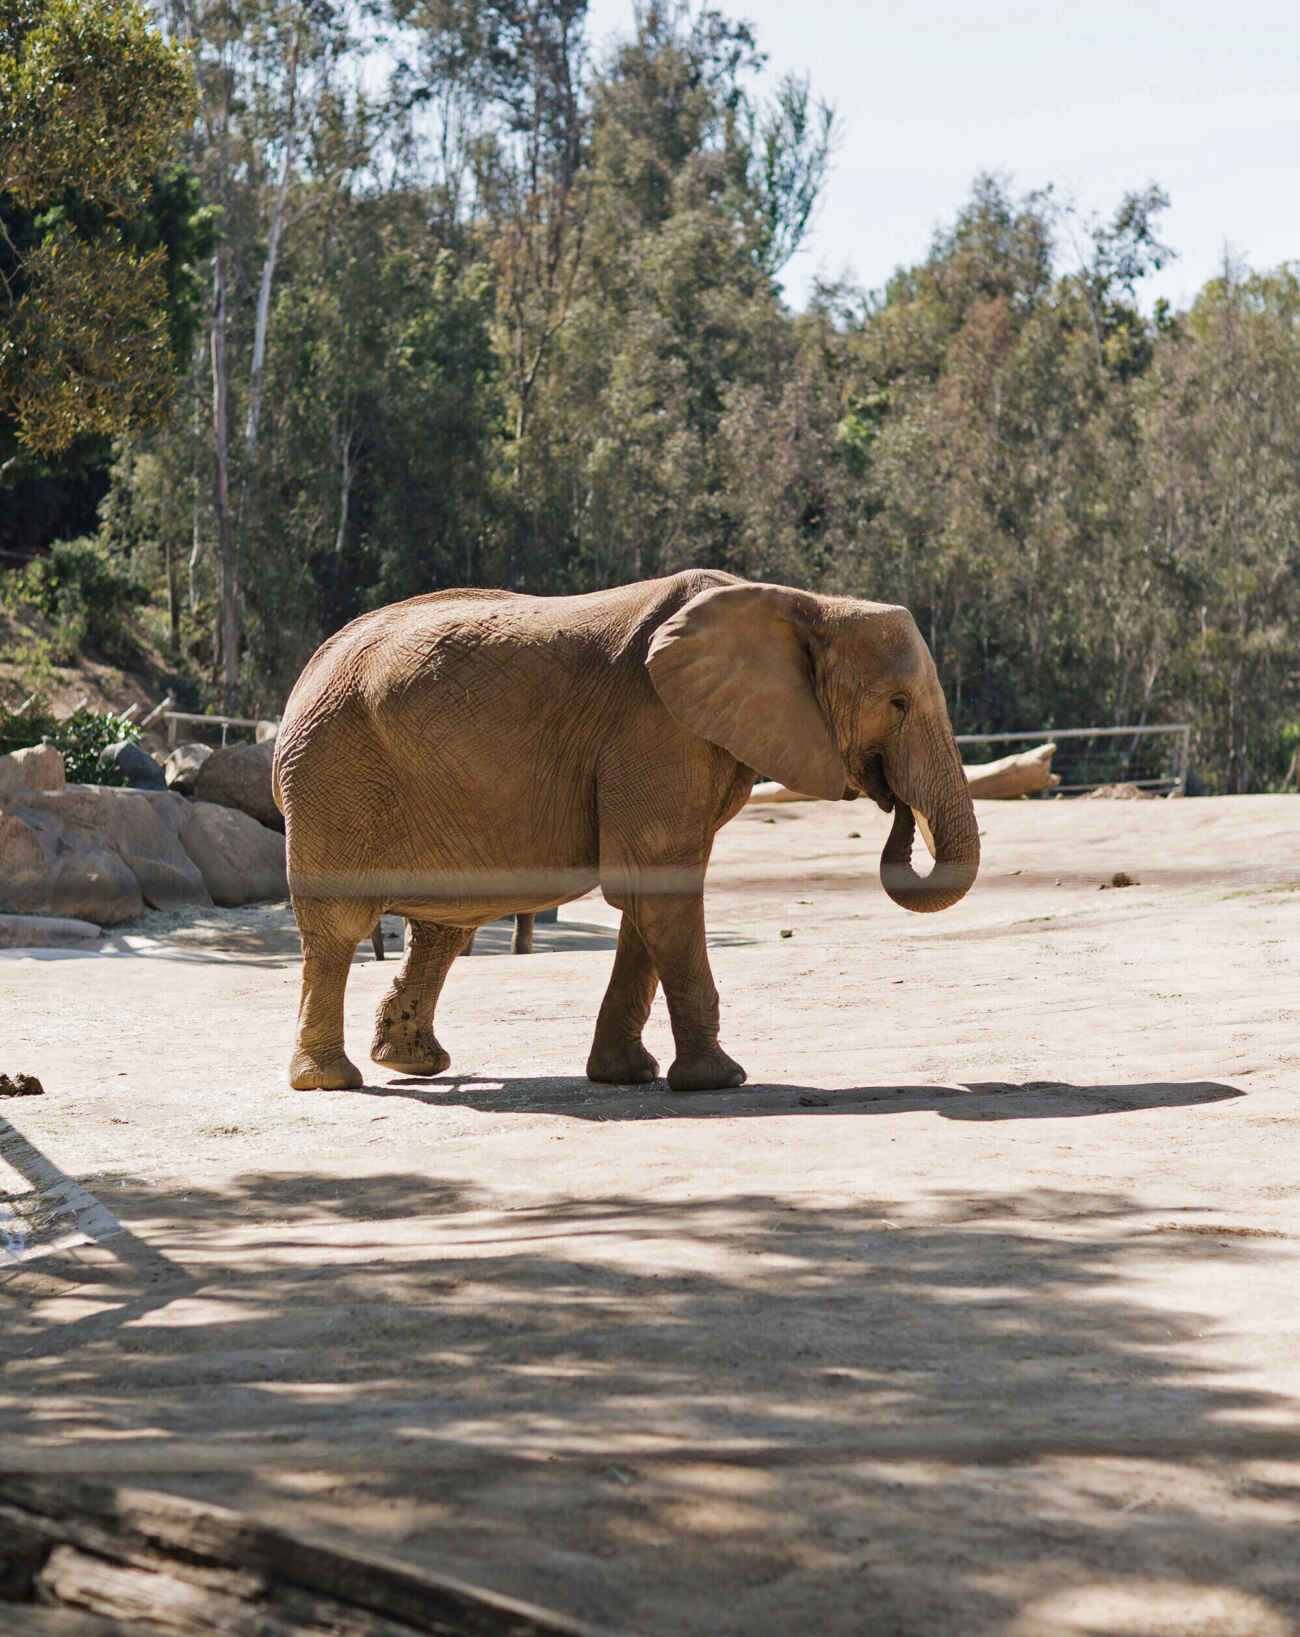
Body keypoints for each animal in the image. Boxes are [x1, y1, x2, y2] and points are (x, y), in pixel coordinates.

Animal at [276, 569, 982, 1093]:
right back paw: (331, 1081)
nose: (894, 805)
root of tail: (309, 669)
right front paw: (721, 1080)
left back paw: (413, 1064)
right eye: (897, 704)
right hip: (334, 775)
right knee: (341, 926)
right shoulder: (655, 727)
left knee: (445, 927)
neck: (805, 603)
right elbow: (662, 889)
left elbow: (650, 899)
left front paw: (626, 1075)